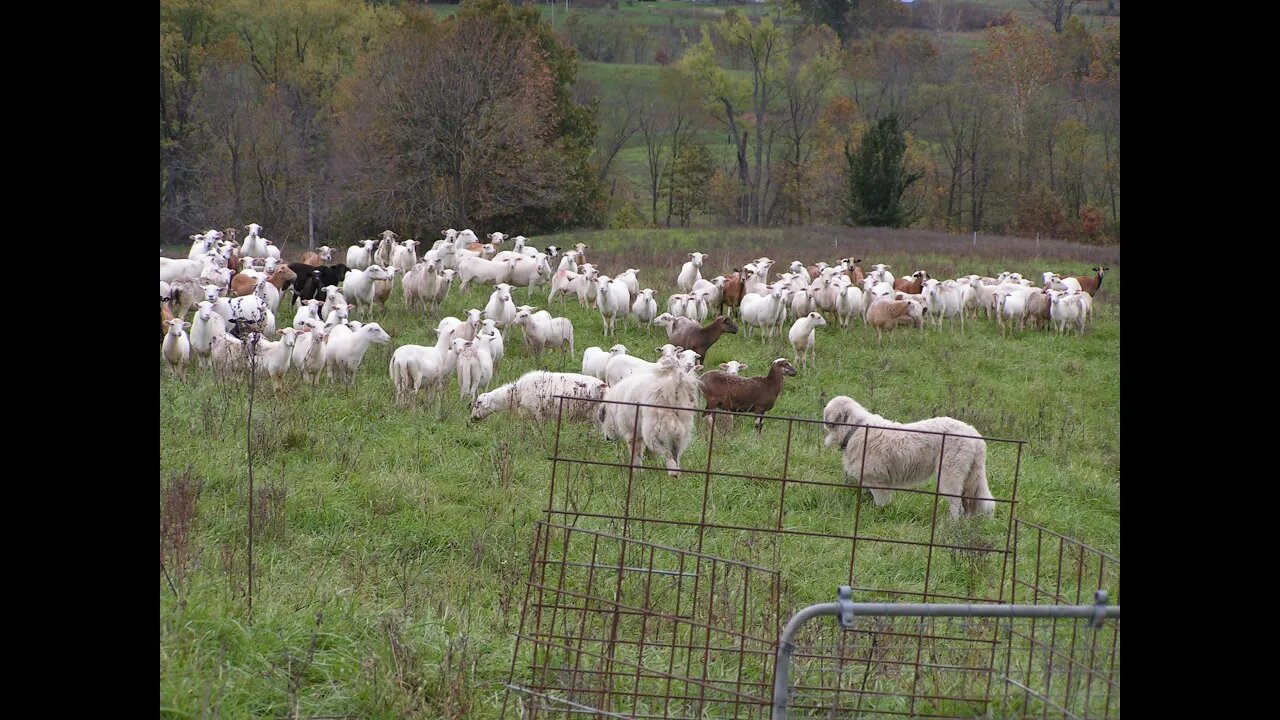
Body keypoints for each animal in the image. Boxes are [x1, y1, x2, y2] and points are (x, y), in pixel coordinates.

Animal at [473, 368, 606, 420]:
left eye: (478, 403)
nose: (473, 417)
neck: (517, 393)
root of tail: (602, 385)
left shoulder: (538, 413)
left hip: (594, 414)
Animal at [819, 394, 998, 517]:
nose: (822, 422)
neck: (854, 429)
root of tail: (973, 433)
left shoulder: (877, 481)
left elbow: (880, 503)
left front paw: (879, 515)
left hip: (950, 475)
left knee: (957, 506)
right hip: (971, 476)